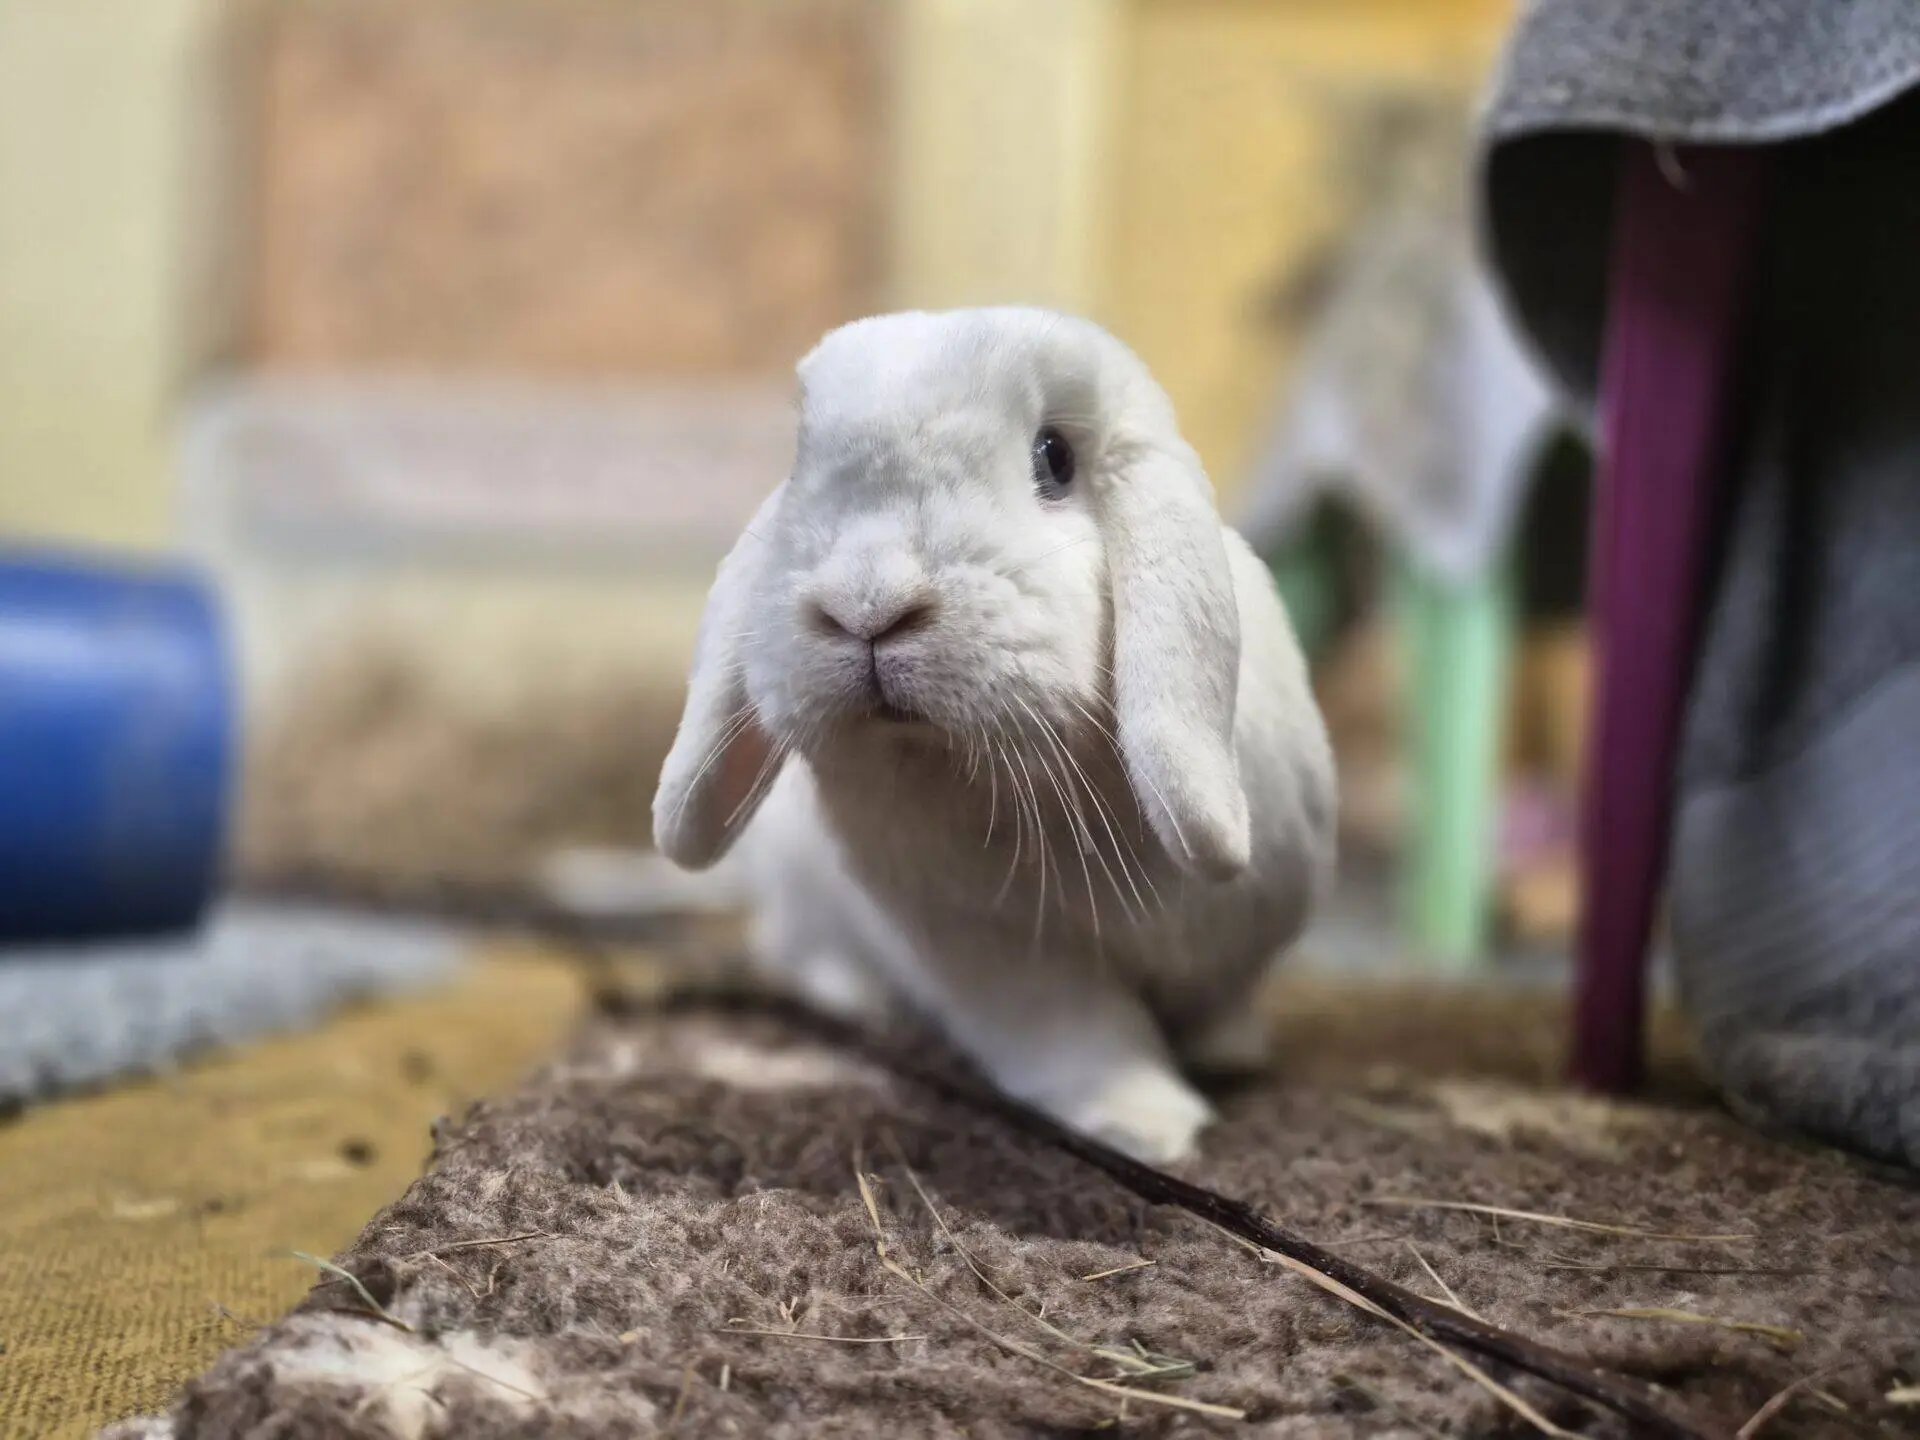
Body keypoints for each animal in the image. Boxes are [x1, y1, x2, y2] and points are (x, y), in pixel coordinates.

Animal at [652, 307, 1337, 1164]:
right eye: (802, 460)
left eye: (1056, 457)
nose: (867, 605)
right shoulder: (996, 951)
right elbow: (1083, 1034)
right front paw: (1148, 1128)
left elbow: (1225, 1000)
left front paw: (1230, 1054)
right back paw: (861, 998)